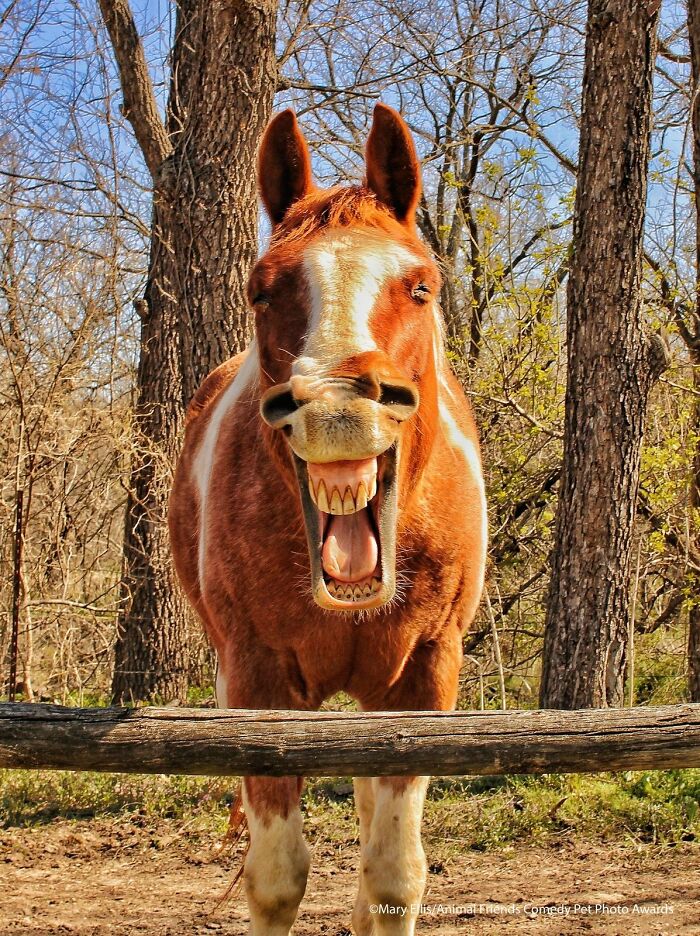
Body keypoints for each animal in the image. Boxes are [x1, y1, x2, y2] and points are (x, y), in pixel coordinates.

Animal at [168, 103, 487, 936]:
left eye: (421, 285)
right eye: (261, 290)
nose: (338, 407)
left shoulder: (425, 678)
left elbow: (395, 876)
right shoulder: (255, 681)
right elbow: (276, 877)